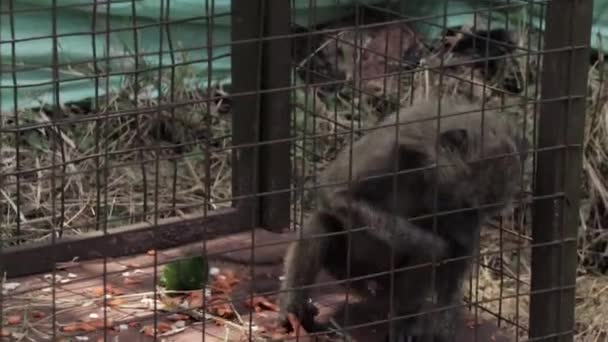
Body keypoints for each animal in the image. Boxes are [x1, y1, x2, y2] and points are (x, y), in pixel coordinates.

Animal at [276, 96, 528, 342]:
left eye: (480, 212)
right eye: (470, 205)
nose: (470, 222)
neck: (424, 167)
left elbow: (456, 255)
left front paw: (443, 329)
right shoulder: (387, 149)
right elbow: (335, 192)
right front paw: (433, 245)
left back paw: (404, 323)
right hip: (348, 271)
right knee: (322, 225)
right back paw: (295, 310)